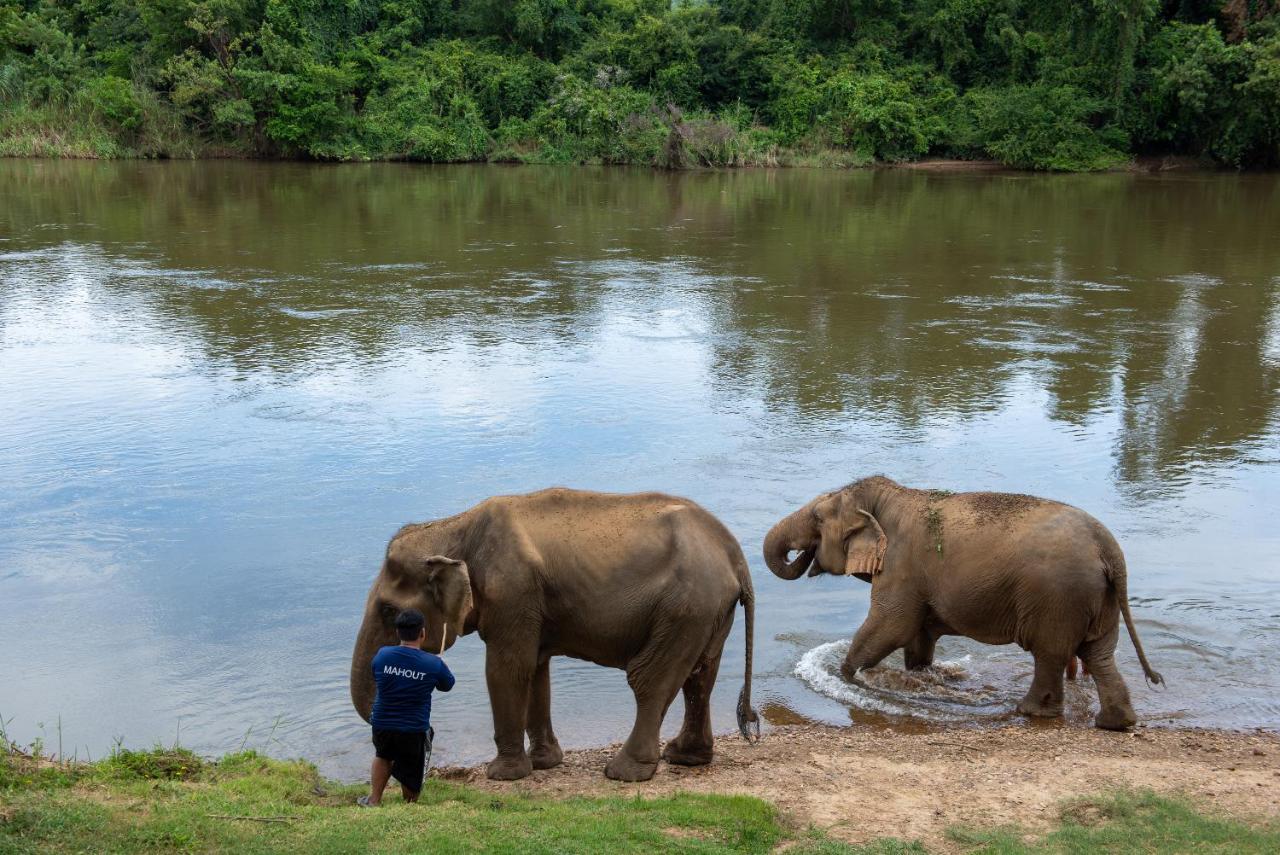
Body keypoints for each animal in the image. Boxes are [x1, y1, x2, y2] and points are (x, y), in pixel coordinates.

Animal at [348, 486, 757, 783]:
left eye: (387, 610)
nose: (429, 735)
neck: (456, 527)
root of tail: (735, 555)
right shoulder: (529, 604)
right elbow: (535, 669)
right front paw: (545, 763)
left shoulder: (512, 592)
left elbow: (506, 669)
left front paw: (503, 776)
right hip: (706, 612)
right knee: (699, 677)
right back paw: (685, 757)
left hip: (685, 606)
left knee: (649, 681)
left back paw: (624, 773)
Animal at [762, 473, 1167, 727]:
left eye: (817, 518)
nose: (804, 555)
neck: (887, 498)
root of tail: (1108, 547)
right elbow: (918, 637)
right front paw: (921, 674)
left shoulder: (901, 565)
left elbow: (891, 626)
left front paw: (848, 676)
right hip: (1098, 599)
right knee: (1099, 654)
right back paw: (1116, 722)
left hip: (1058, 598)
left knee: (1050, 653)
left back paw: (1031, 712)